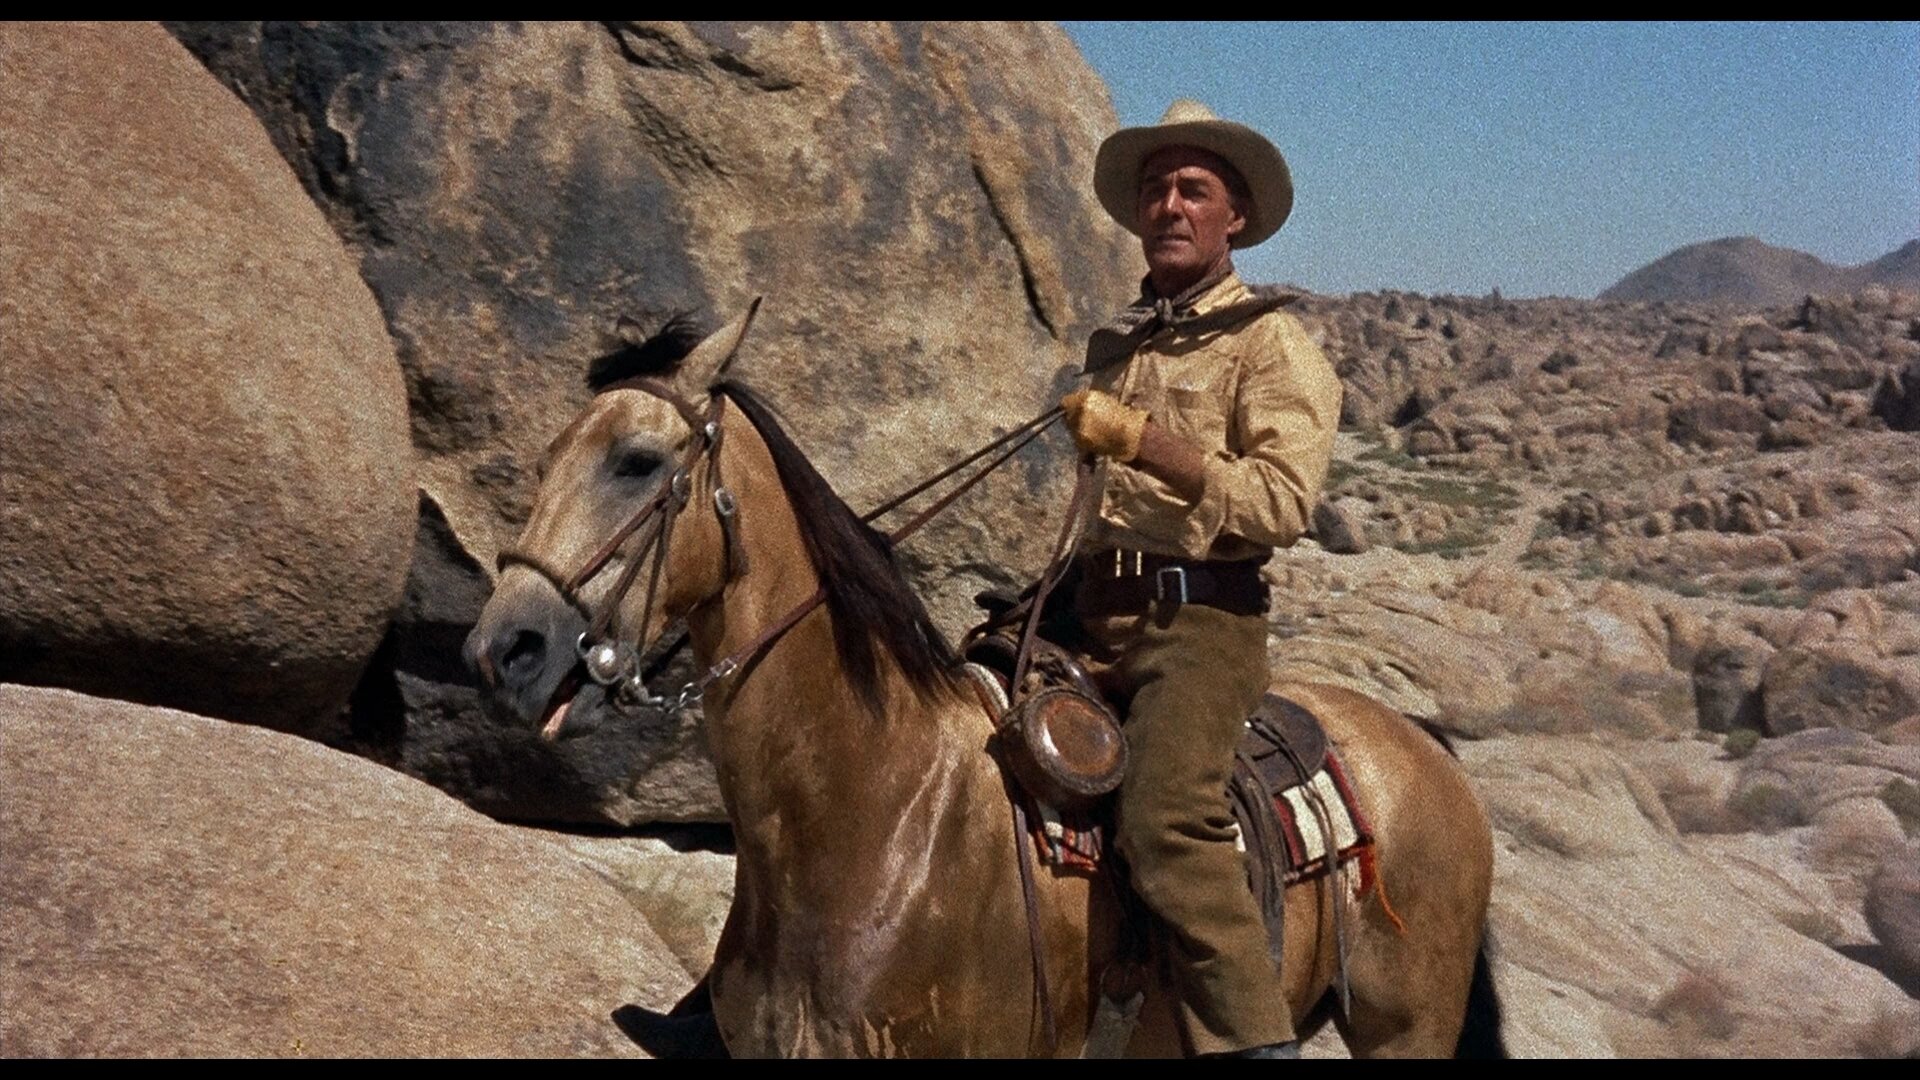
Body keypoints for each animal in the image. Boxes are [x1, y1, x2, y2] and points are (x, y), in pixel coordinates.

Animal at [465, 306, 1503, 1058]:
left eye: (638, 462)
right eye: (552, 457)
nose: (502, 649)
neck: (872, 811)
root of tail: (1427, 750)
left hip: (1406, 1031)